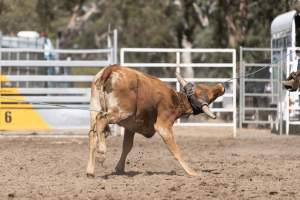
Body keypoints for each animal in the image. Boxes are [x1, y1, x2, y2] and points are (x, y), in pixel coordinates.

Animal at [86, 64, 225, 177]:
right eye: (207, 93)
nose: (221, 86)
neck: (175, 99)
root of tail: (112, 69)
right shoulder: (163, 125)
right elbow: (176, 151)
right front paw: (192, 172)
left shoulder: (130, 127)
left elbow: (127, 146)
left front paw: (119, 168)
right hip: (121, 112)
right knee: (101, 120)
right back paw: (101, 153)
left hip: (95, 110)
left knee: (92, 134)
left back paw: (90, 171)